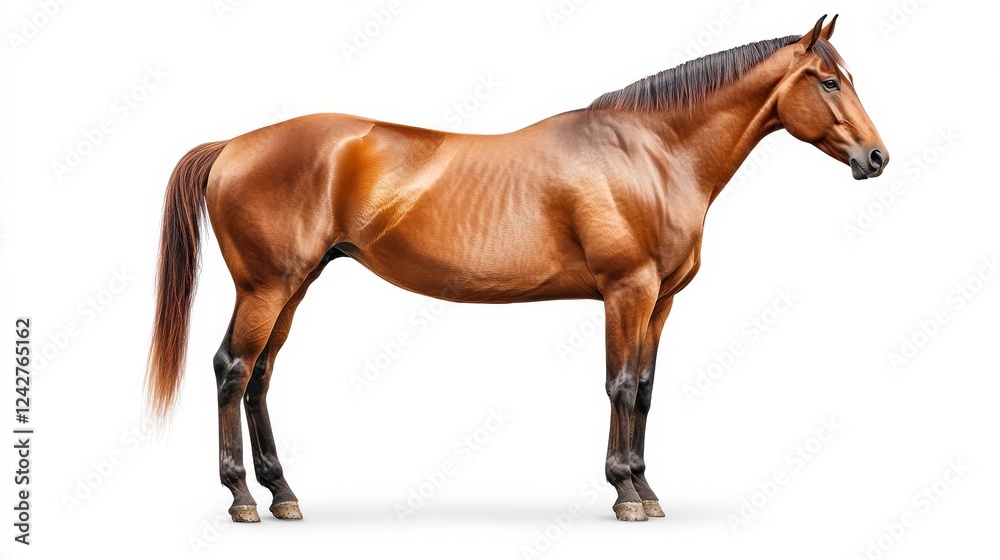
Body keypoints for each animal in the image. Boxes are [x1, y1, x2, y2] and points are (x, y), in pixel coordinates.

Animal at [145, 15, 887, 523]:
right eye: (828, 81)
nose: (876, 157)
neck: (651, 154)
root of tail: (234, 145)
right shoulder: (627, 291)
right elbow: (620, 386)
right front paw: (624, 491)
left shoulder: (661, 300)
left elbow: (646, 389)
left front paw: (647, 489)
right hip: (266, 287)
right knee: (233, 370)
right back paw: (242, 497)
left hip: (293, 288)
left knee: (261, 376)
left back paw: (282, 493)